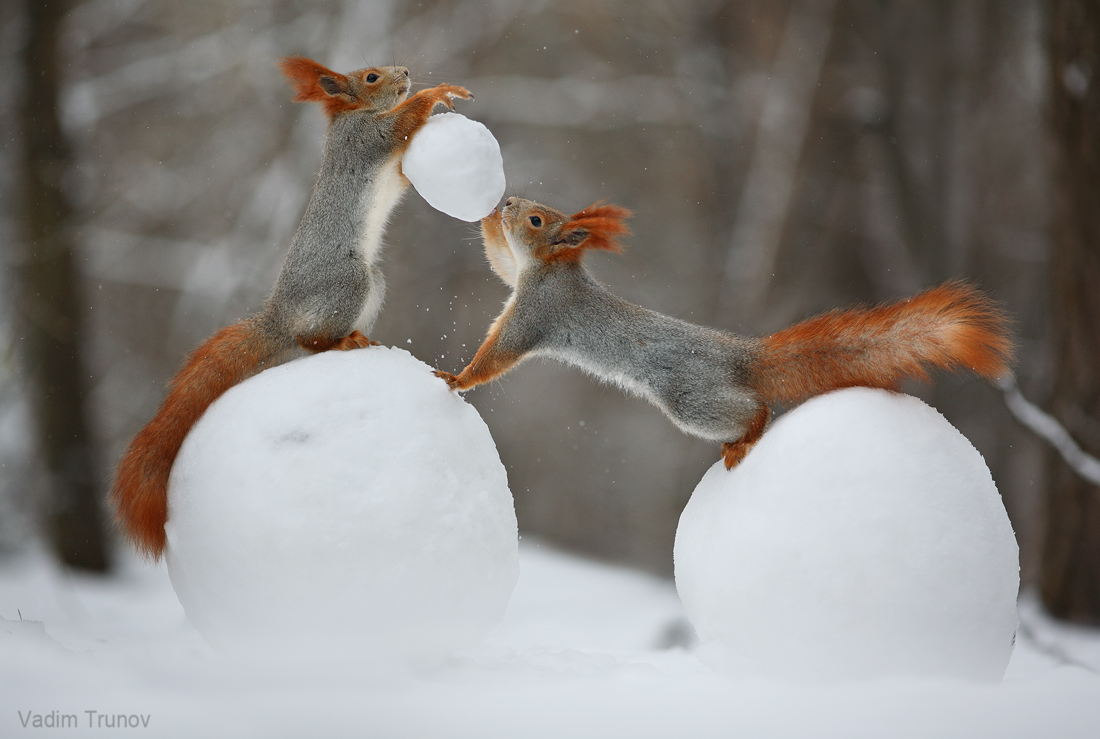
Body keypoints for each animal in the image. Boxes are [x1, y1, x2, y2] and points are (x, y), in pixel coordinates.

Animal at [111, 57, 473, 556]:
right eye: (371, 77)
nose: (404, 71)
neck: (352, 115)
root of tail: (280, 316)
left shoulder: (387, 163)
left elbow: (402, 175)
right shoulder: (363, 139)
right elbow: (396, 126)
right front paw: (436, 93)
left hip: (371, 284)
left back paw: (355, 338)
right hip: (349, 281)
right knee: (311, 341)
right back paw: (340, 344)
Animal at [435, 195, 1012, 470]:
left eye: (536, 220)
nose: (509, 202)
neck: (550, 272)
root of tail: (741, 357)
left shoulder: (538, 312)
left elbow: (498, 355)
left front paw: (456, 379)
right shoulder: (515, 278)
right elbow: (498, 262)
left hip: (691, 399)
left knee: (754, 409)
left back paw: (747, 437)